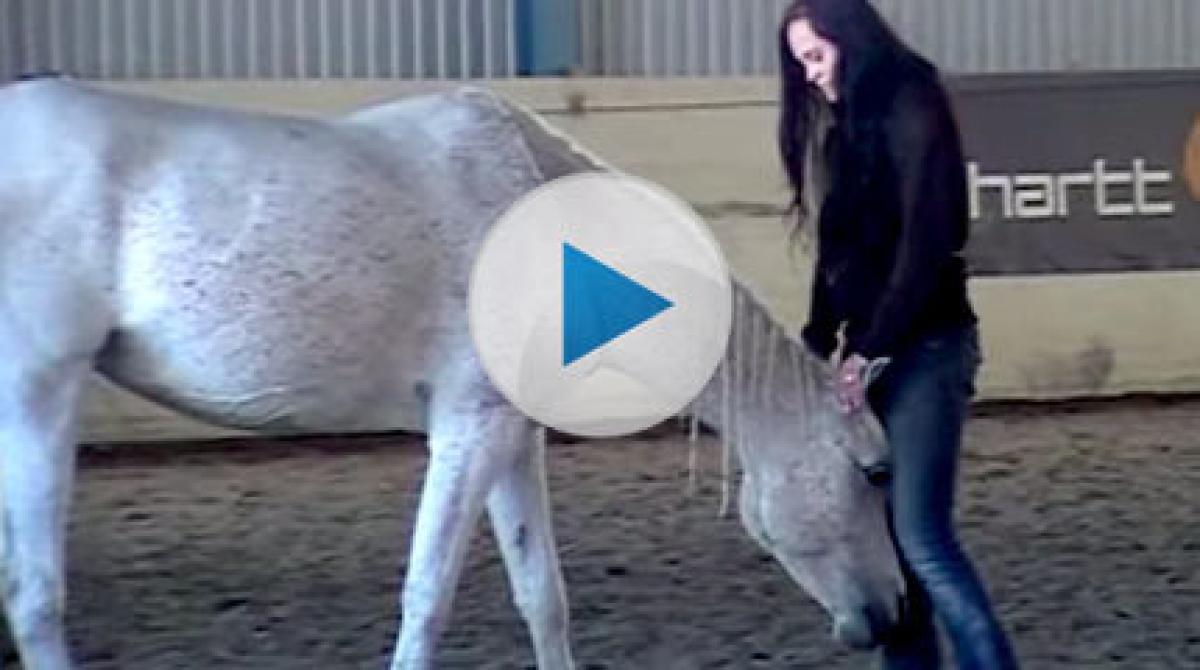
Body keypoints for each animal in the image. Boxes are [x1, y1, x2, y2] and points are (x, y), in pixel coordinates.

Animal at [0, 77, 904, 669]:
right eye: (873, 471)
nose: (892, 615)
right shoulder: (468, 431)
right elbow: (427, 598)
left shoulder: (509, 440)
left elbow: (543, 596)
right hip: (37, 401)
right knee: (36, 601)